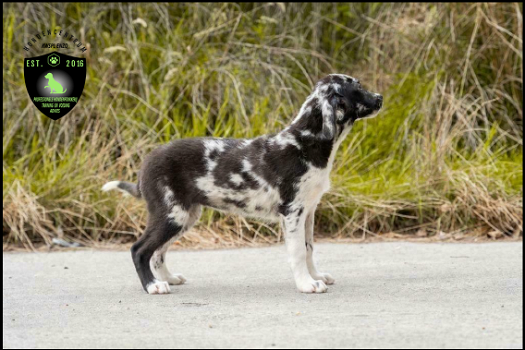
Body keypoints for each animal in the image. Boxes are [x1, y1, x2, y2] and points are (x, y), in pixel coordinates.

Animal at [102, 74, 380, 296]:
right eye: (357, 86)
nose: (380, 97)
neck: (305, 142)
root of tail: (146, 163)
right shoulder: (292, 211)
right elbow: (298, 252)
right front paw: (306, 284)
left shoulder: (309, 210)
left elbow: (309, 248)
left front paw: (316, 276)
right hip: (172, 214)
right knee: (140, 249)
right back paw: (153, 286)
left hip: (185, 216)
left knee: (158, 252)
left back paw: (168, 278)